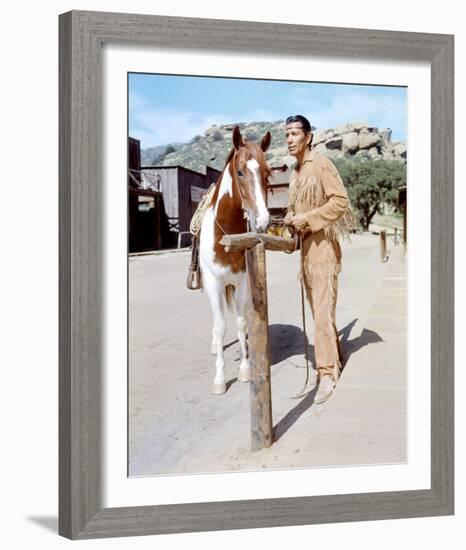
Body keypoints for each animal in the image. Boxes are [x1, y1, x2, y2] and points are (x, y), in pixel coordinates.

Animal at [200, 125, 274, 394]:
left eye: (267, 173)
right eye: (240, 172)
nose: (263, 220)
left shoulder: (242, 282)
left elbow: (241, 323)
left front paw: (245, 369)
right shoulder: (213, 283)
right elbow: (220, 327)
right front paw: (220, 379)